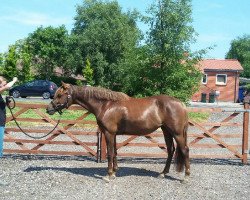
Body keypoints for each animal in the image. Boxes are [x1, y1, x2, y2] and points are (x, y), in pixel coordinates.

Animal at [46, 82, 189, 182]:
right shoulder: (113, 134)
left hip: (177, 133)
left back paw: (186, 177)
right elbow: (114, 152)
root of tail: (180, 104)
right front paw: (114, 171)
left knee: (185, 150)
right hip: (166, 131)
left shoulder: (109, 133)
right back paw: (163, 173)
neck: (106, 105)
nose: (49, 109)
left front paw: (109, 175)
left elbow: (110, 153)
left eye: (59, 95)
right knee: (170, 150)